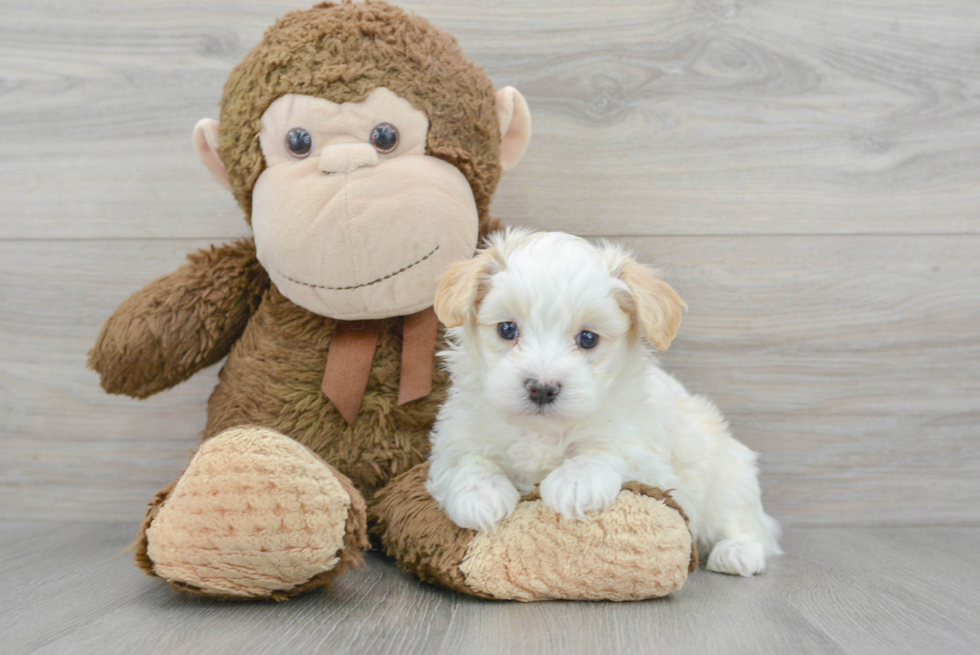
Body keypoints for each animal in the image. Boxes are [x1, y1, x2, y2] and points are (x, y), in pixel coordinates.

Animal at [426, 228, 780, 576]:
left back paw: (738, 552)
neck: (542, 430)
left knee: (749, 524)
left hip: (729, 478)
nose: (542, 388)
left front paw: (576, 481)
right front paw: (479, 494)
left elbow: (605, 450)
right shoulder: (457, 436)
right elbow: (468, 460)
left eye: (588, 338)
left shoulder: (645, 454)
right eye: (507, 329)